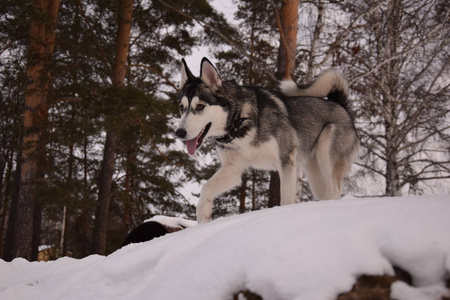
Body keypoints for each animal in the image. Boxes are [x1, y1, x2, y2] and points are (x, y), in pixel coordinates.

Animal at [176, 58, 358, 223]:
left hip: (326, 157)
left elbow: (285, 200)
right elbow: (206, 187)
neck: (239, 123)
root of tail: (340, 104)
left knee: (335, 189)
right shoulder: (233, 168)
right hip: (315, 173)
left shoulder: (286, 162)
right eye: (182, 107)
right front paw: (203, 217)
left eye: (200, 106)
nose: (179, 132)